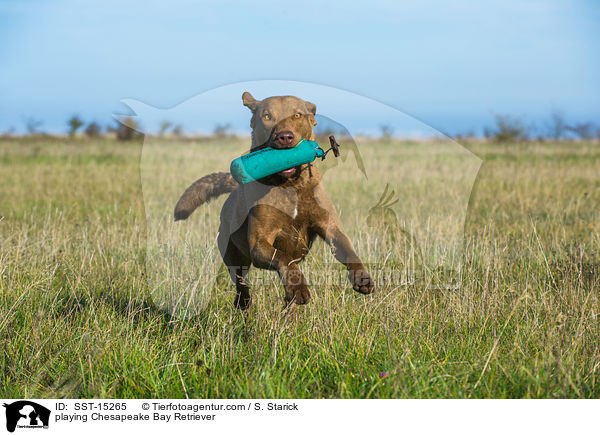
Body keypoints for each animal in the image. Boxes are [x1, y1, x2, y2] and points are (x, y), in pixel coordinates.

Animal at [171, 92, 372, 310]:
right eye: (267, 117)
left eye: (297, 115)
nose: (285, 136)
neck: (290, 185)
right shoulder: (259, 243)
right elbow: (283, 257)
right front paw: (298, 287)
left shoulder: (330, 227)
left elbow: (348, 249)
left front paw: (362, 276)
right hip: (233, 254)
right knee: (241, 283)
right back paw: (245, 303)